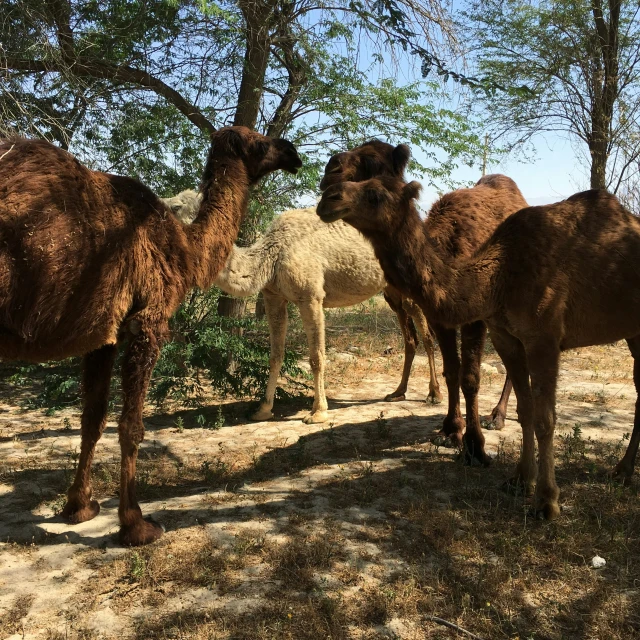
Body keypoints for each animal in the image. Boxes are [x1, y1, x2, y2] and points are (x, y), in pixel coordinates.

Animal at [0, 126, 302, 544]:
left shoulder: (104, 335)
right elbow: (131, 425)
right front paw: (137, 525)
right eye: (259, 142)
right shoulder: (149, 321)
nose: (293, 153)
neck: (187, 247)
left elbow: (92, 418)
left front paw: (79, 507)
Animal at [318, 176, 640, 520]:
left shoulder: (544, 337)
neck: (498, 274)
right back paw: (622, 472)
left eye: (375, 194)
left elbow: (545, 419)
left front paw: (546, 502)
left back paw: (620, 472)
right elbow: (526, 411)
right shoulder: (505, 335)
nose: (328, 198)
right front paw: (519, 480)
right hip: (634, 331)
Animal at [320, 141, 524, 460]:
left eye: (370, 161)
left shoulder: (474, 317)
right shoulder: (438, 315)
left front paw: (474, 445)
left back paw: (498, 416)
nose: (331, 174)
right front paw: (451, 431)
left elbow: (471, 378)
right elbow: (451, 371)